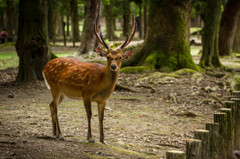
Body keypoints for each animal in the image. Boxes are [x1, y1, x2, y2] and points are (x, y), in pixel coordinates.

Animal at [42, 14, 136, 143]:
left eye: (120, 57)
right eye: (108, 57)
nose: (113, 66)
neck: (100, 83)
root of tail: (44, 67)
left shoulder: (103, 100)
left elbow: (101, 117)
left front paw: (103, 140)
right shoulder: (86, 93)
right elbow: (89, 114)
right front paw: (90, 138)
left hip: (62, 92)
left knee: (51, 105)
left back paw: (54, 133)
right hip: (54, 86)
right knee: (55, 108)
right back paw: (60, 135)